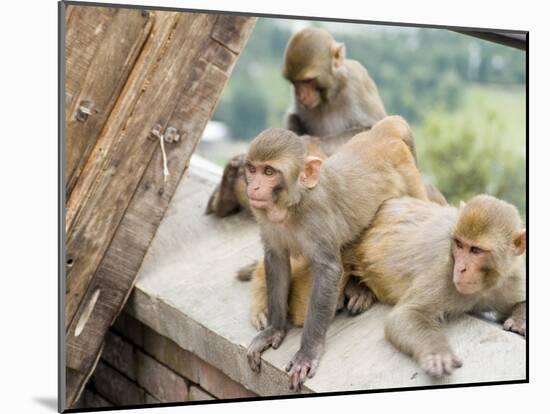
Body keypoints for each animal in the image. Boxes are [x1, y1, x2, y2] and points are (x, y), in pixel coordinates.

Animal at [246, 194, 528, 378]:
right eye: (459, 244)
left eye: (476, 250)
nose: (461, 269)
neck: (485, 285)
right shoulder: (443, 275)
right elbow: (404, 316)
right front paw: (437, 352)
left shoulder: (512, 277)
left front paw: (519, 320)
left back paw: (360, 289)